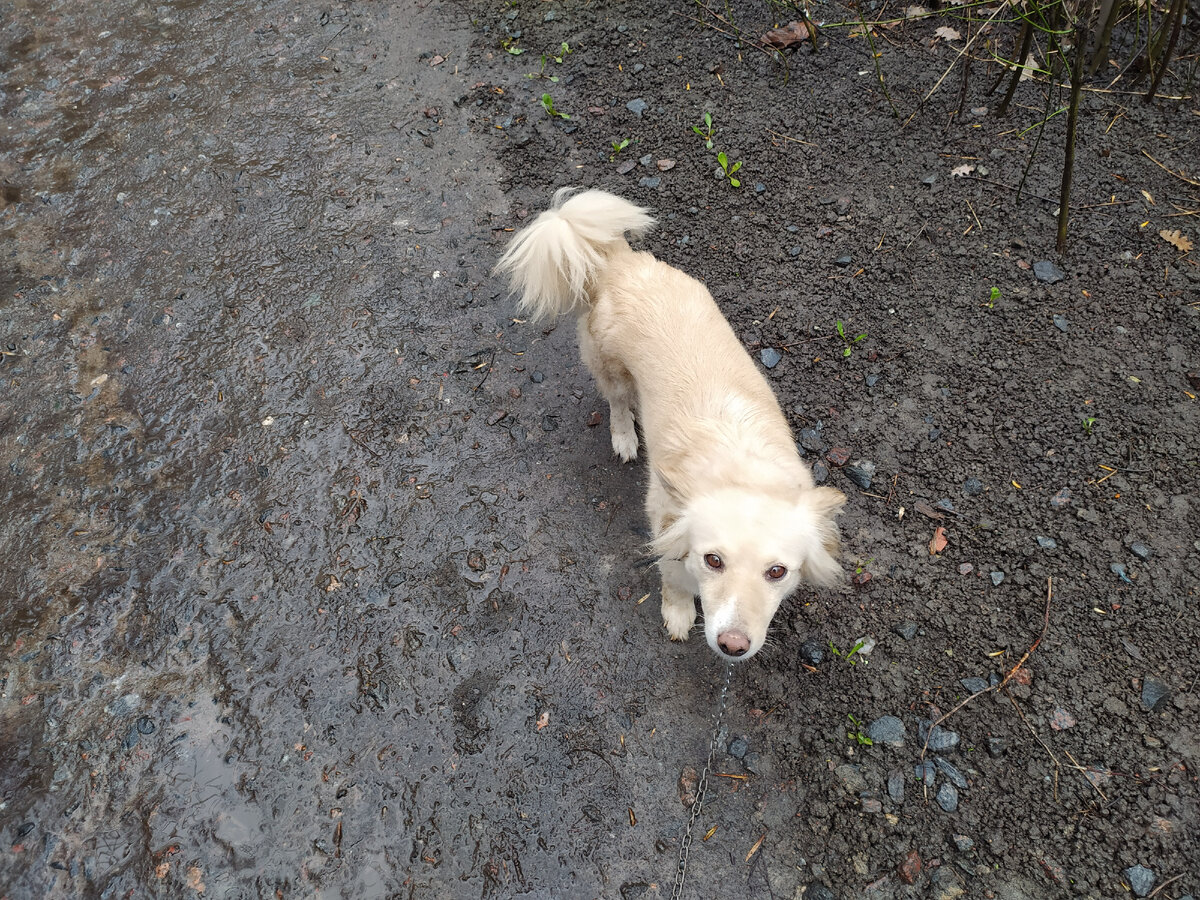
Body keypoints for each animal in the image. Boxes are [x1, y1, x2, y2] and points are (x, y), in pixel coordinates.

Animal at [494, 188, 844, 662]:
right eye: (713, 560)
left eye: (777, 571)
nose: (733, 645)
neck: (742, 470)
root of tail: (618, 262)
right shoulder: (666, 531)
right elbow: (675, 585)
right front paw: (678, 616)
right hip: (612, 369)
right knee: (617, 403)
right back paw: (625, 436)